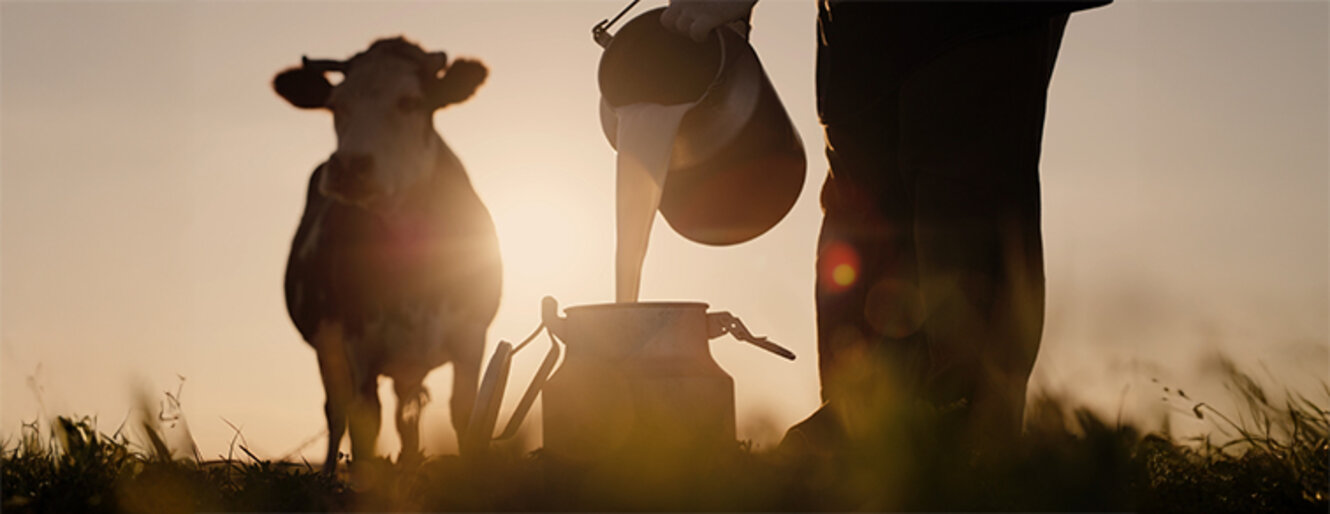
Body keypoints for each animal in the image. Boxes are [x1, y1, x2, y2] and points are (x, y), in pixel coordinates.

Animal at [272, 37, 500, 474]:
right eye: (336, 105)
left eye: (410, 102)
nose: (349, 166)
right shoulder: (360, 346)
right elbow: (365, 426)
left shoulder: (471, 336)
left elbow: (464, 414)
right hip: (329, 348)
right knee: (337, 412)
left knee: (406, 415)